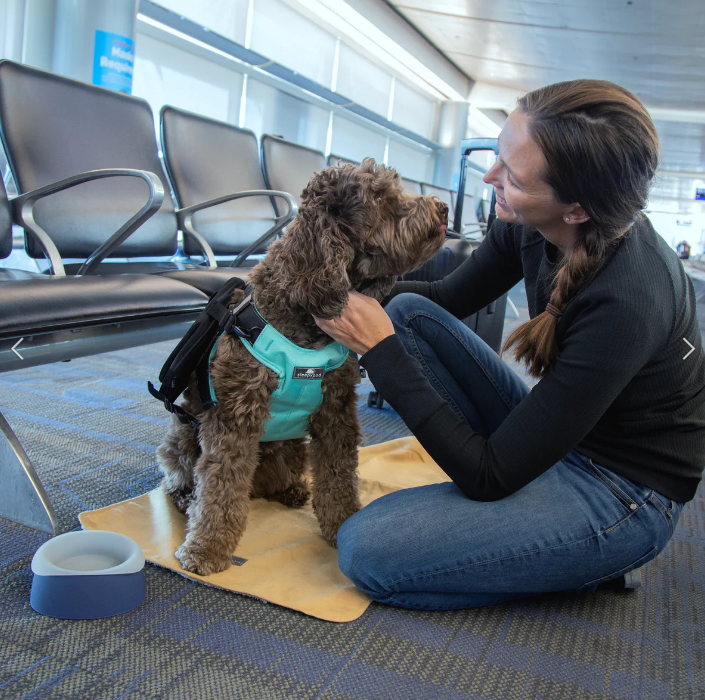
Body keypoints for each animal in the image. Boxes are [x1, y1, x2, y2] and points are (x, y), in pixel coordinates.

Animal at [157, 159, 448, 576]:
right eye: (378, 196)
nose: (443, 209)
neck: (305, 313)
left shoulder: (336, 412)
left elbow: (338, 476)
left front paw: (343, 525)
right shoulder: (234, 417)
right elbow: (220, 488)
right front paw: (206, 548)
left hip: (291, 449)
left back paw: (290, 489)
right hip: (182, 435)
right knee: (182, 477)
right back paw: (185, 498)